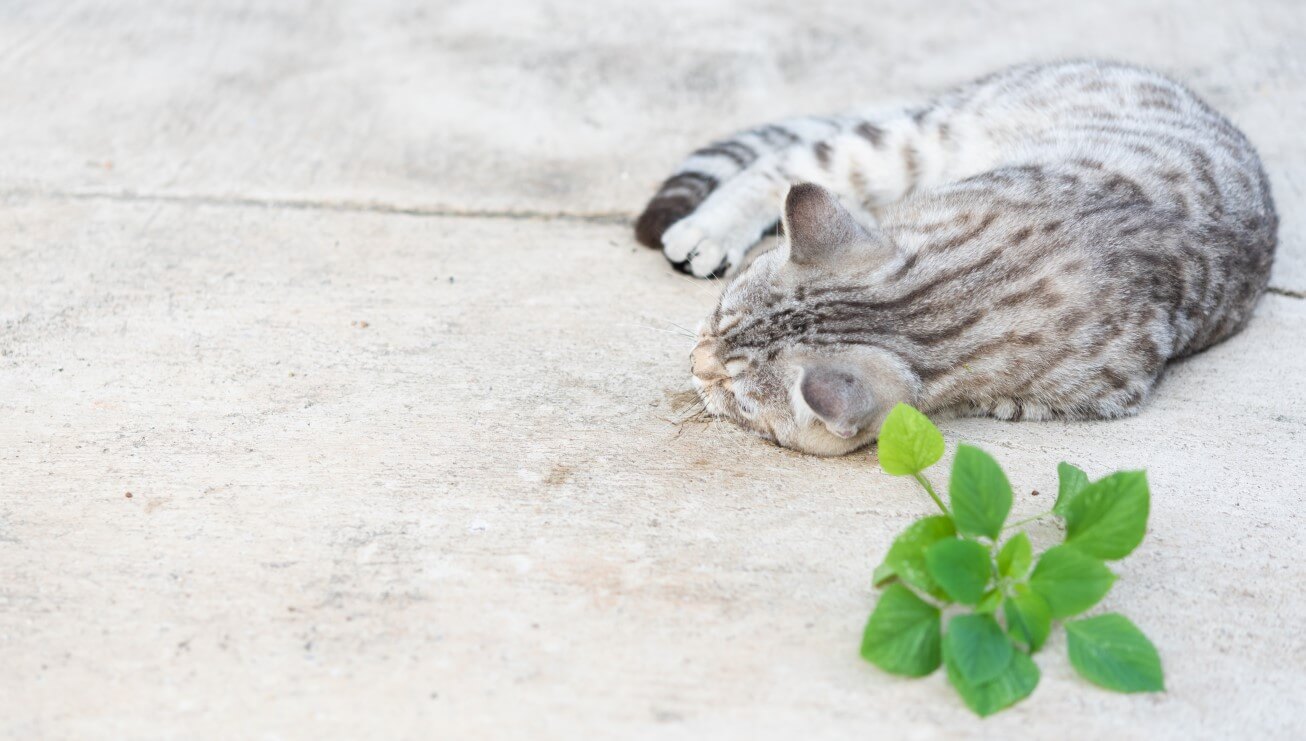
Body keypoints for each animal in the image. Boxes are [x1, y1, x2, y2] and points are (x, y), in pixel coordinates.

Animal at [637, 59, 1279, 457]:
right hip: (901, 145)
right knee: (781, 165)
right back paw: (707, 228)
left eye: (736, 395)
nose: (695, 361)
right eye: (716, 315)